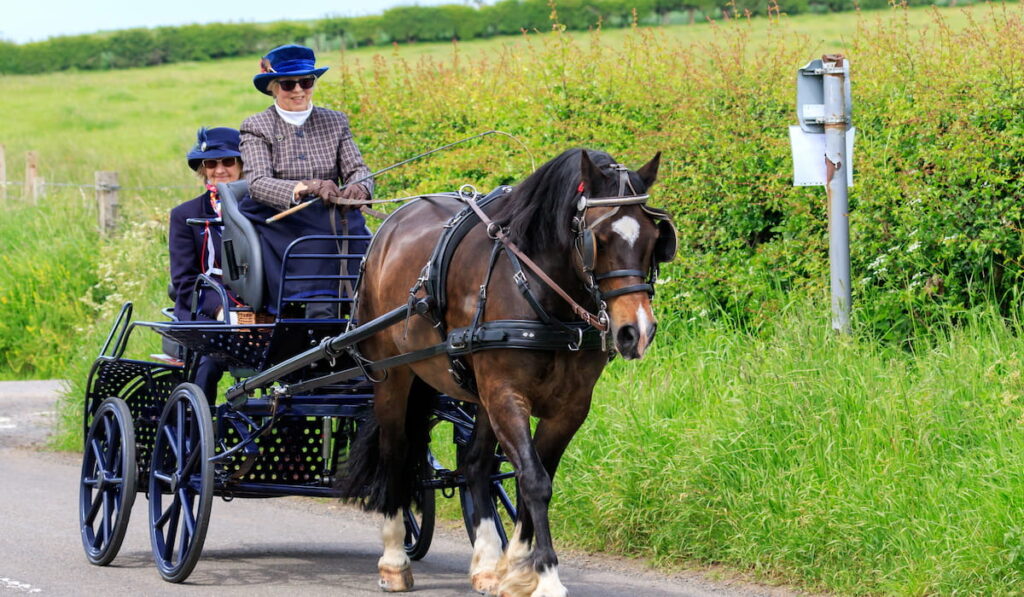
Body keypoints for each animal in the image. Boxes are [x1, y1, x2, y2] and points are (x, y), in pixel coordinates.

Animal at [339, 147, 675, 593]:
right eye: (598, 239)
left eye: (655, 239)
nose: (636, 331)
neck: (542, 295)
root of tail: (390, 226)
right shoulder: (505, 392)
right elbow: (533, 479)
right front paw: (545, 575)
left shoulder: (569, 406)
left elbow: (535, 475)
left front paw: (515, 569)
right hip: (395, 375)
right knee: (395, 452)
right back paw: (394, 561)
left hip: (477, 393)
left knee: (475, 464)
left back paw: (485, 562)